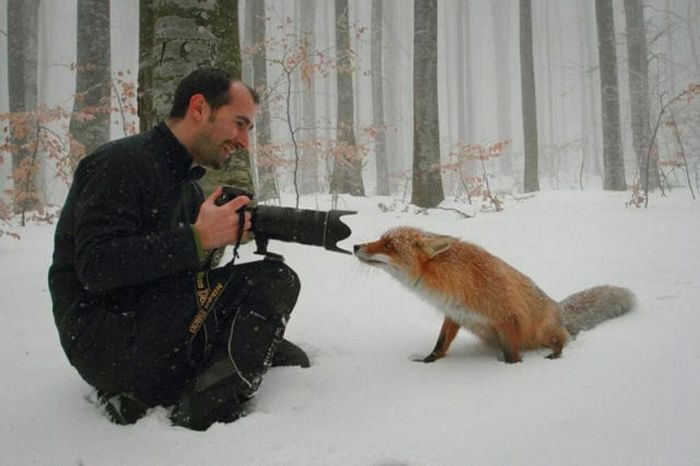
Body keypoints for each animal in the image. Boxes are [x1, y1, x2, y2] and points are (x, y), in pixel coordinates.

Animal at [356, 227, 636, 364]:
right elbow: (439, 345)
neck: (453, 281)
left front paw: (510, 371)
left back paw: (555, 355)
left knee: (562, 341)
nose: (356, 245)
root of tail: (559, 308)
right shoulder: (454, 314)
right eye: (381, 238)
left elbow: (512, 356)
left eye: (389, 245)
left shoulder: (507, 319)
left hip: (544, 331)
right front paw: (427, 362)